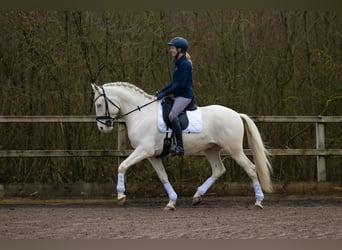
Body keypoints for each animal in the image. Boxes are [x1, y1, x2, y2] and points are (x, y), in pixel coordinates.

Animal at [91, 81, 272, 209]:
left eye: (99, 105)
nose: (102, 128)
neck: (141, 114)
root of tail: (236, 114)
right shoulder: (152, 155)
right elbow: (163, 176)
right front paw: (171, 202)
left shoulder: (143, 150)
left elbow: (122, 166)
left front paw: (121, 196)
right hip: (211, 149)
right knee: (218, 170)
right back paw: (197, 196)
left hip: (234, 150)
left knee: (251, 168)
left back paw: (259, 201)